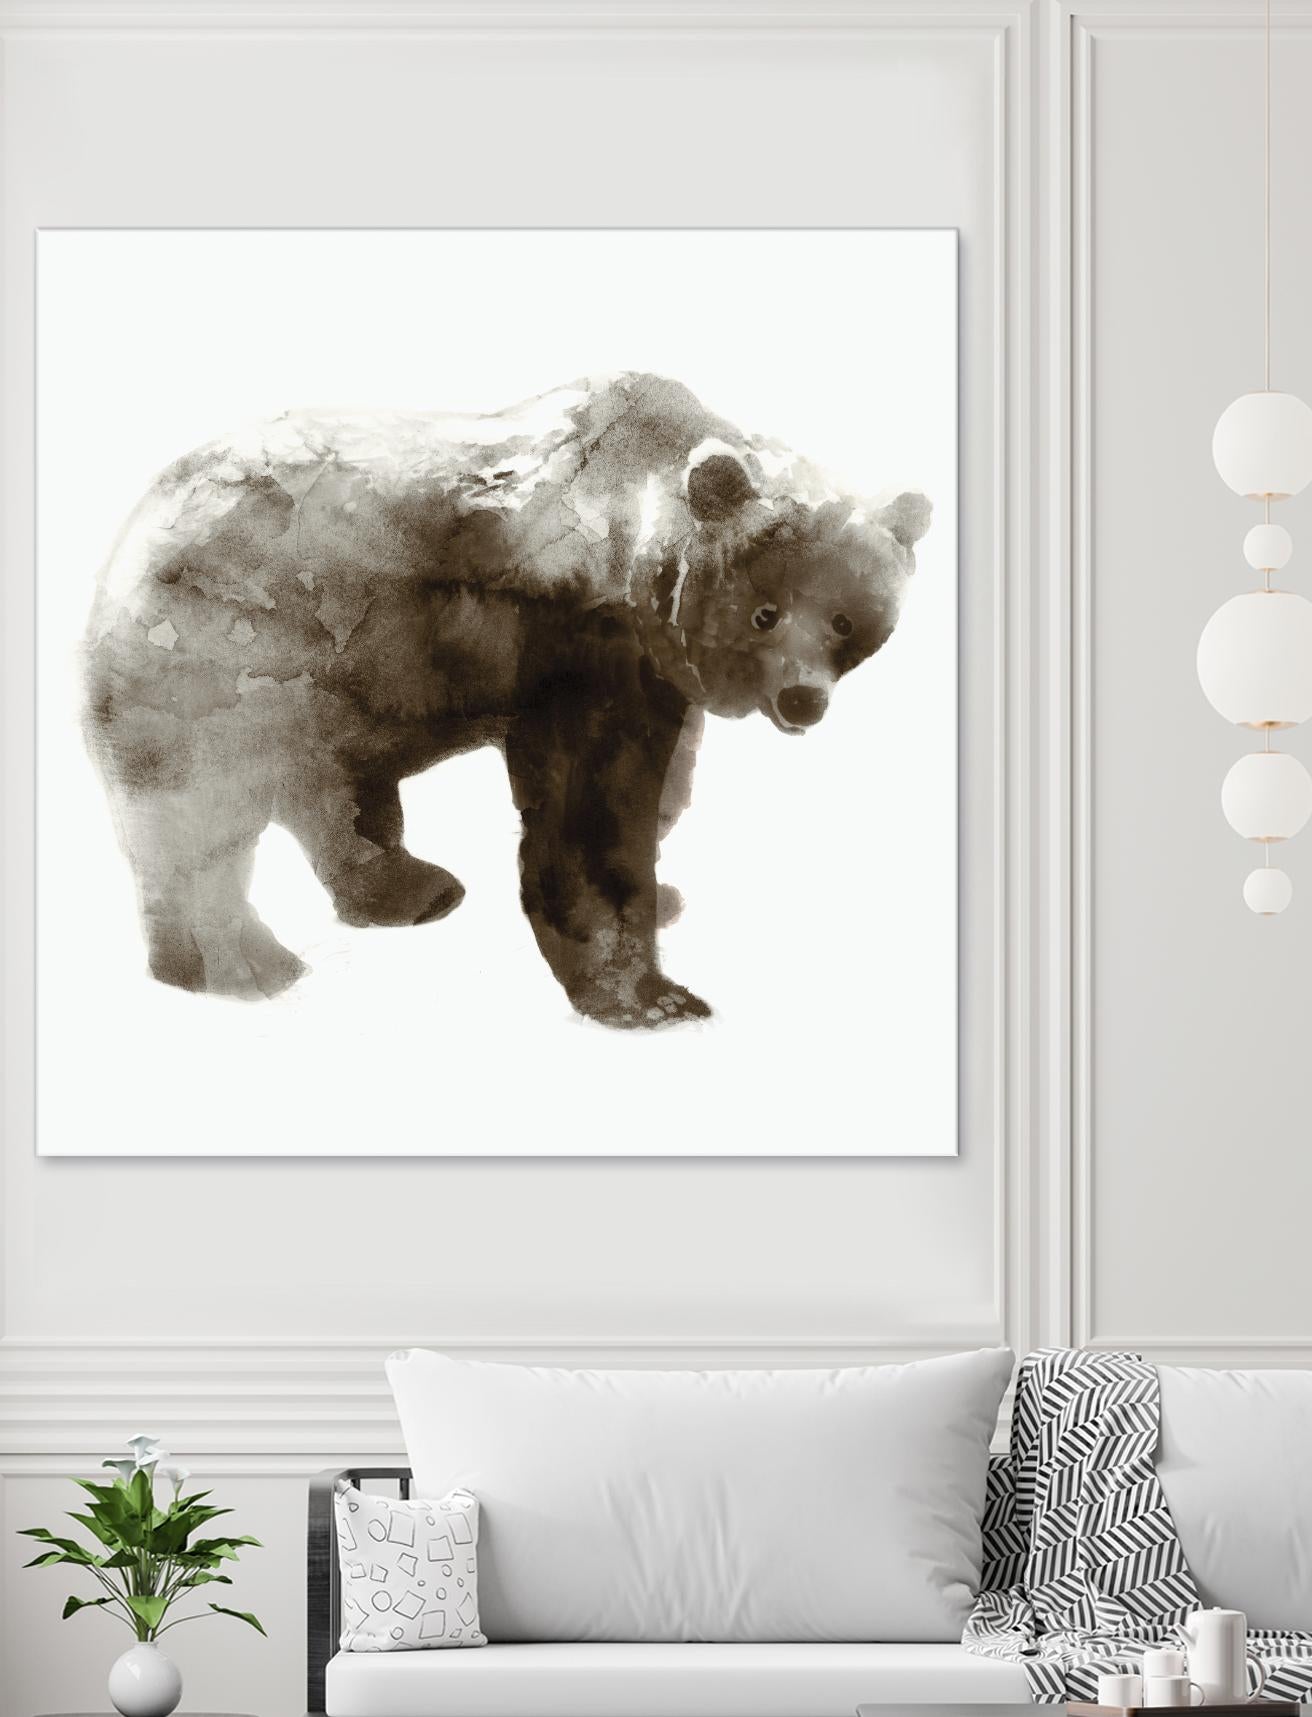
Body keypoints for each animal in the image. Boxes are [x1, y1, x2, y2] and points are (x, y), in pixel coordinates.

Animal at [84, 372, 931, 1029]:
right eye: (766, 612)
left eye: (848, 620)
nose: (803, 698)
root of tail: (129, 533)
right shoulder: (576, 640)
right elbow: (590, 810)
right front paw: (654, 994)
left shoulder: (656, 668)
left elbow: (664, 784)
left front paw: (665, 894)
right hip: (228, 654)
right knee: (201, 816)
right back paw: (239, 965)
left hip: (336, 691)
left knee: (332, 791)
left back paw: (410, 888)